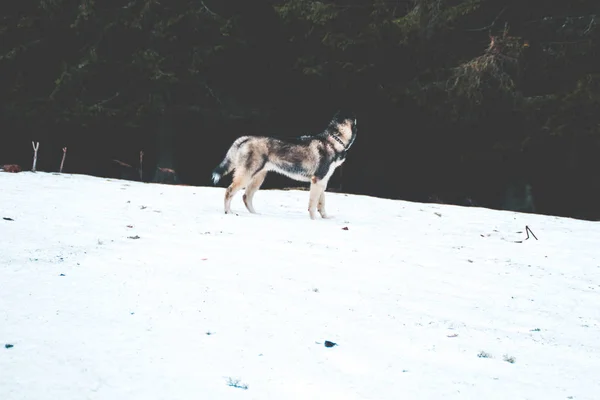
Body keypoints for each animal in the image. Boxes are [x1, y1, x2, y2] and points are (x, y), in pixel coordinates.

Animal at [212, 111, 356, 220]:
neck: (333, 141)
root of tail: (247, 138)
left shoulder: (322, 182)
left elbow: (321, 204)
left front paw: (325, 219)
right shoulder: (317, 181)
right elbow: (313, 205)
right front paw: (314, 221)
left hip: (258, 178)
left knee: (246, 197)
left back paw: (256, 215)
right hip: (246, 176)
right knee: (229, 191)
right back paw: (229, 213)